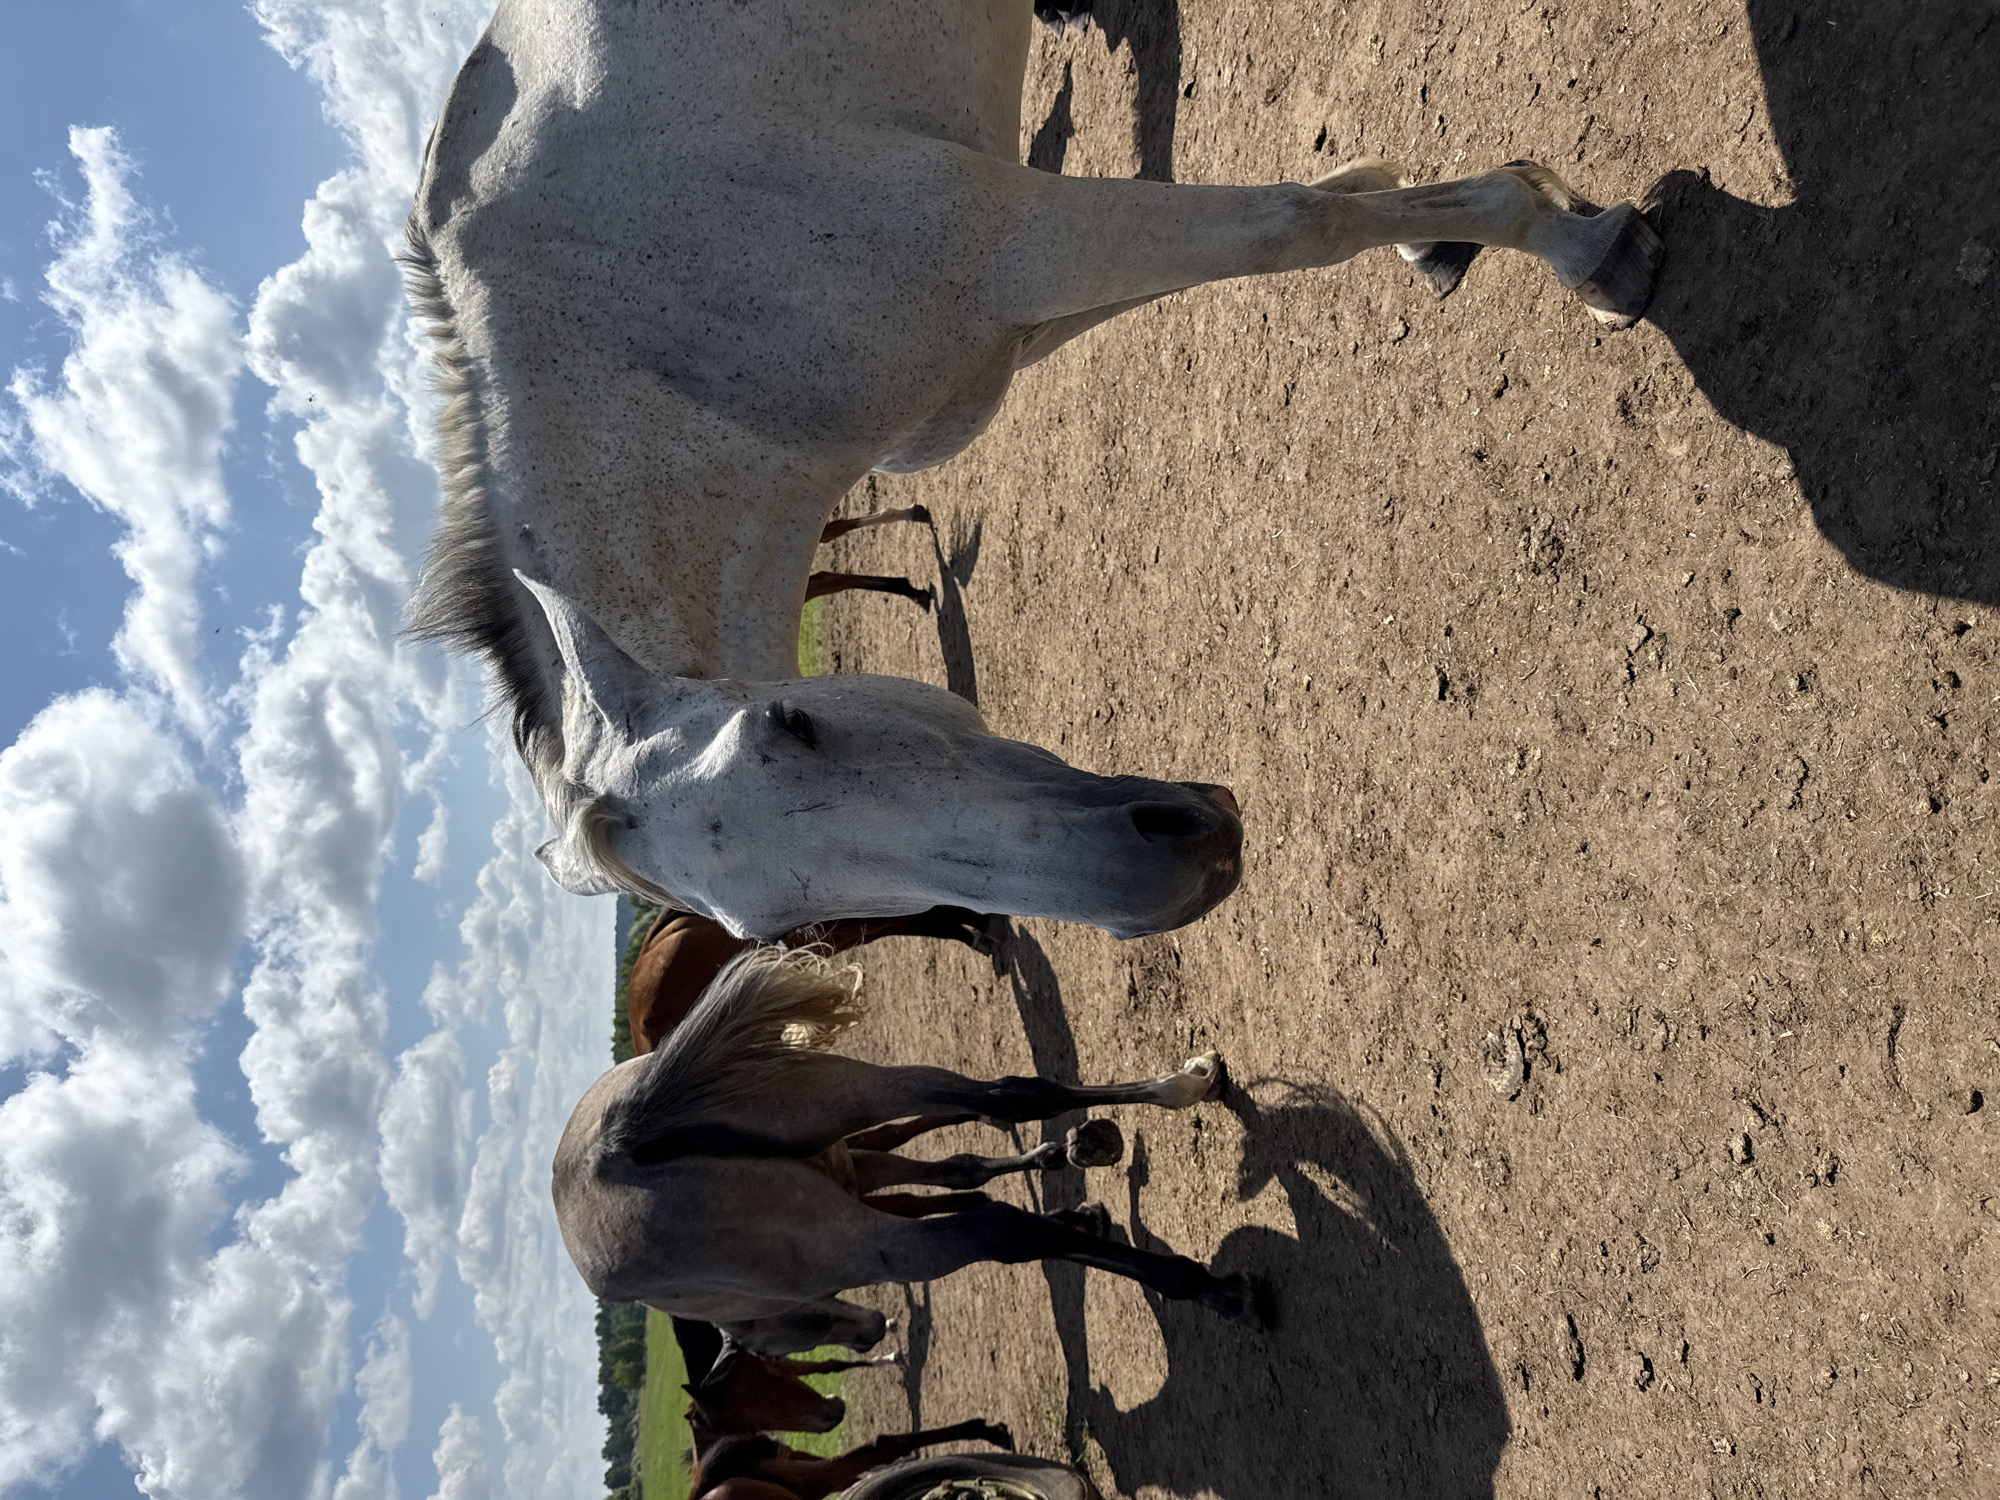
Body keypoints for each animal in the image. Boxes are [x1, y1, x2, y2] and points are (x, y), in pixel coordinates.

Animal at [404, 0, 1659, 940]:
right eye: (779, 931)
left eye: (792, 725)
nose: (1175, 872)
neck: (649, 344)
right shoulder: (1000, 327)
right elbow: (1324, 211)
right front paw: (1440, 227)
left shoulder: (1022, 237)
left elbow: (1295, 226)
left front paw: (1577, 244)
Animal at [553, 947, 1263, 1356]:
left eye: (773, 1347)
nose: (871, 1334)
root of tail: (613, 1145)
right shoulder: (858, 1167)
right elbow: (958, 1174)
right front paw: (1078, 1201)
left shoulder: (859, 1194)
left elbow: (959, 1186)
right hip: (845, 1095)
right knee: (1010, 1101)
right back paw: (1188, 1089)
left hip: (856, 1214)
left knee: (997, 1222)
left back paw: (1209, 1288)